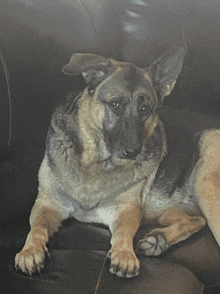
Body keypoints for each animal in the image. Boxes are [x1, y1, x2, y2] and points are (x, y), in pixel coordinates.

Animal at [14, 45, 220, 278]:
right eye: (115, 104)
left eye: (145, 109)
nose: (133, 152)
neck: (95, 164)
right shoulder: (47, 204)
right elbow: (37, 228)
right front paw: (30, 250)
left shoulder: (126, 209)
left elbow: (122, 232)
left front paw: (124, 254)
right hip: (176, 206)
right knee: (196, 220)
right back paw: (158, 240)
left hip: (205, 178)